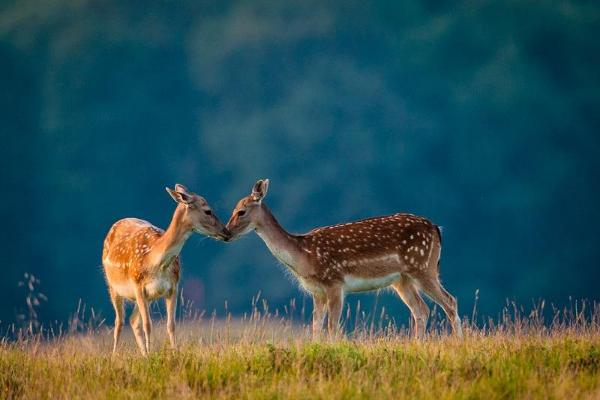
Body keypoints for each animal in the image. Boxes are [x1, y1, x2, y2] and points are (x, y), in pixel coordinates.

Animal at [102, 183, 229, 354]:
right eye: (207, 210)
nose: (226, 231)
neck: (155, 261)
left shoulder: (173, 287)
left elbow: (171, 325)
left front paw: (172, 352)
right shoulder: (138, 285)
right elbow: (148, 325)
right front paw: (151, 355)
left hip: (145, 297)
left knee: (133, 320)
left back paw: (143, 354)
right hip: (113, 286)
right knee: (119, 322)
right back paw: (115, 355)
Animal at [225, 180, 464, 340]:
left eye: (241, 211)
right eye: (232, 209)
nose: (226, 233)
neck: (305, 255)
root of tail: (436, 228)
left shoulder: (335, 283)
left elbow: (332, 326)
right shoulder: (317, 291)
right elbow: (316, 326)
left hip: (423, 267)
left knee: (450, 301)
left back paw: (458, 342)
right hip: (402, 280)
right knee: (421, 310)